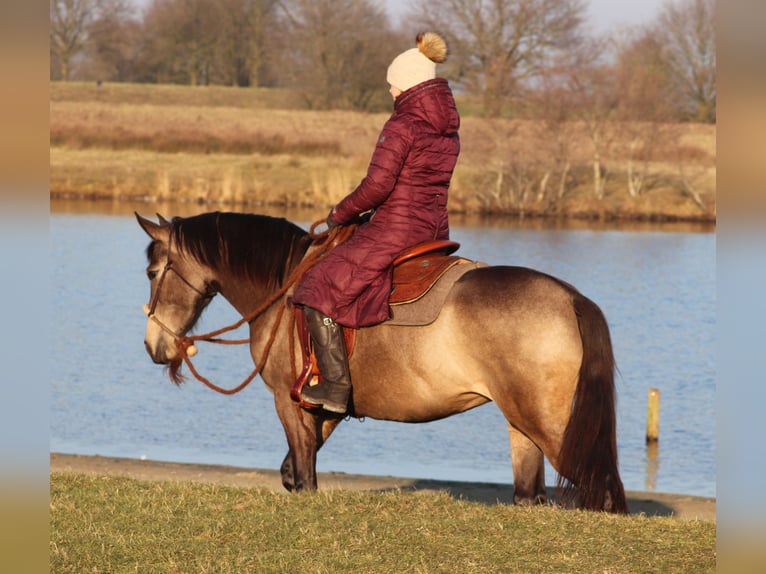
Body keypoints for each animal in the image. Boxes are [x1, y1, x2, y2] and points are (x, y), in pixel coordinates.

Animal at [136, 210, 632, 512]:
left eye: (152, 272)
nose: (154, 346)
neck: (284, 286)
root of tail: (571, 298)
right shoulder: (324, 409)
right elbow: (293, 471)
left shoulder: (289, 403)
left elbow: (304, 478)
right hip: (521, 427)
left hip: (550, 428)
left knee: (604, 492)